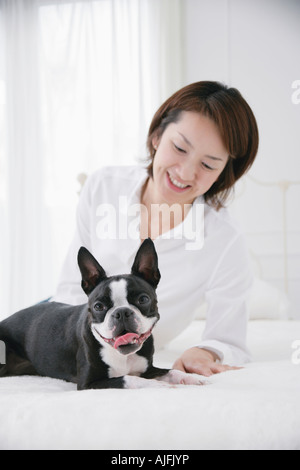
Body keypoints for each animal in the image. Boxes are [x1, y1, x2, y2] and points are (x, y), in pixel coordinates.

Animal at [0, 239, 203, 390]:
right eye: (98, 306)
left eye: (143, 299)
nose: (122, 312)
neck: (122, 356)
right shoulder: (88, 383)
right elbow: (129, 378)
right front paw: (155, 385)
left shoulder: (148, 368)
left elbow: (169, 371)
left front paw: (191, 377)